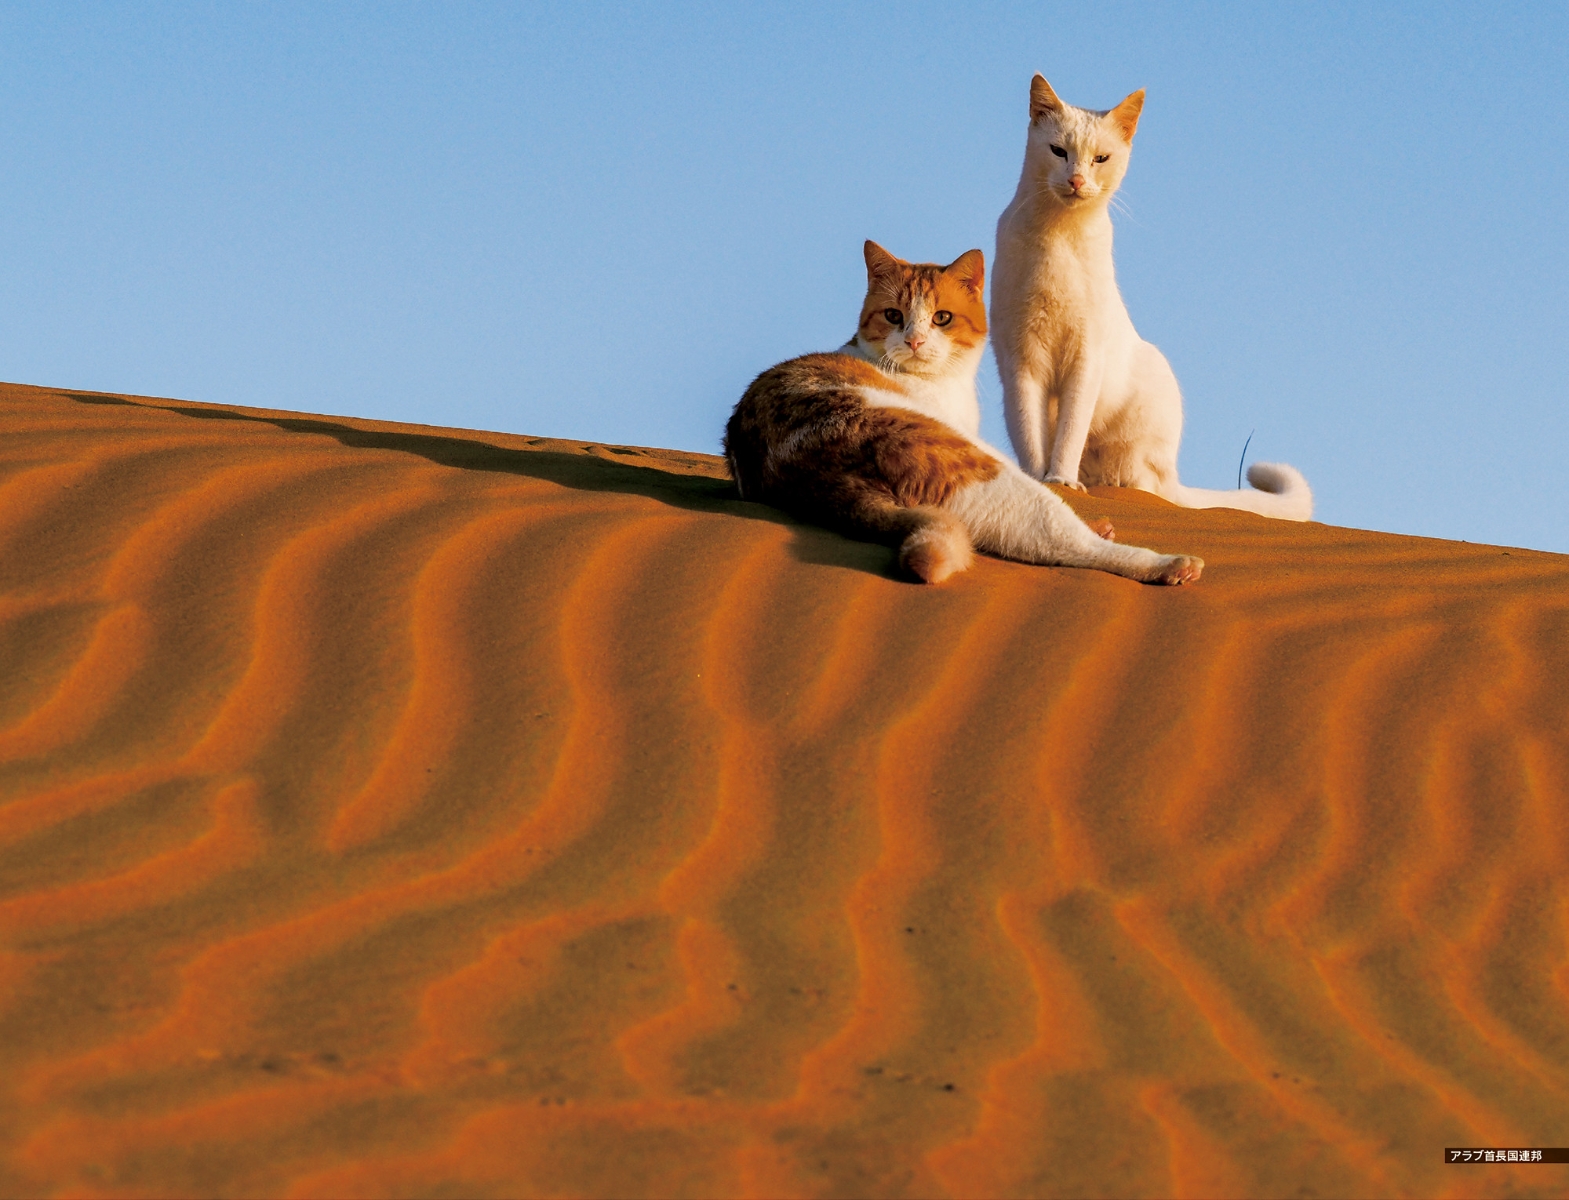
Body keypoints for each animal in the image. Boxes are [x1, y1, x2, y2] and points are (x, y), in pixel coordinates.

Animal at [721, 240, 1198, 586]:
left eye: (942, 318)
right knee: (1066, 544)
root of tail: (818, 479)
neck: (941, 381)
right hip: (987, 475)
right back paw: (1169, 564)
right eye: (893, 315)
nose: (914, 341)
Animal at [991, 76, 1311, 520]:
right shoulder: (1020, 360)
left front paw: (1061, 481)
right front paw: (1041, 481)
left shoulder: (1086, 356)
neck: (1057, 236)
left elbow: (1070, 430)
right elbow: (1029, 434)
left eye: (1101, 158)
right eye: (1058, 151)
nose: (1076, 180)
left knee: (1143, 483)